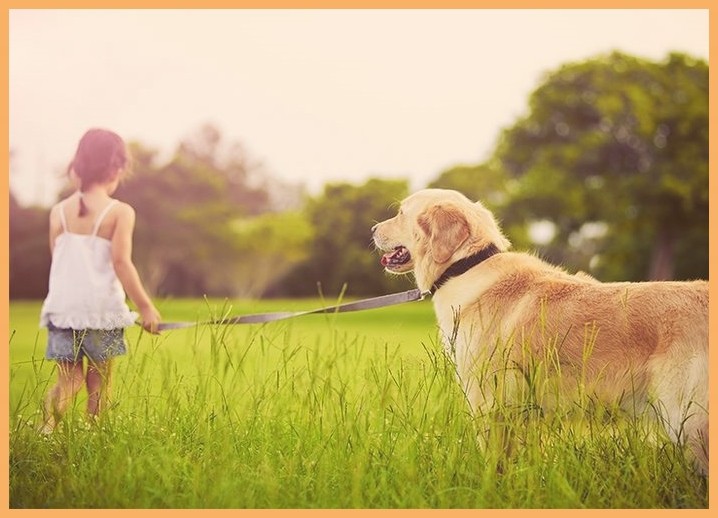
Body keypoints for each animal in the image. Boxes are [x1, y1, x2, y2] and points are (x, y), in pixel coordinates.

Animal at [374, 188, 712, 476]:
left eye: (401, 213)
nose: (373, 229)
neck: (466, 266)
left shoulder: (488, 403)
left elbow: (493, 464)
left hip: (690, 422)